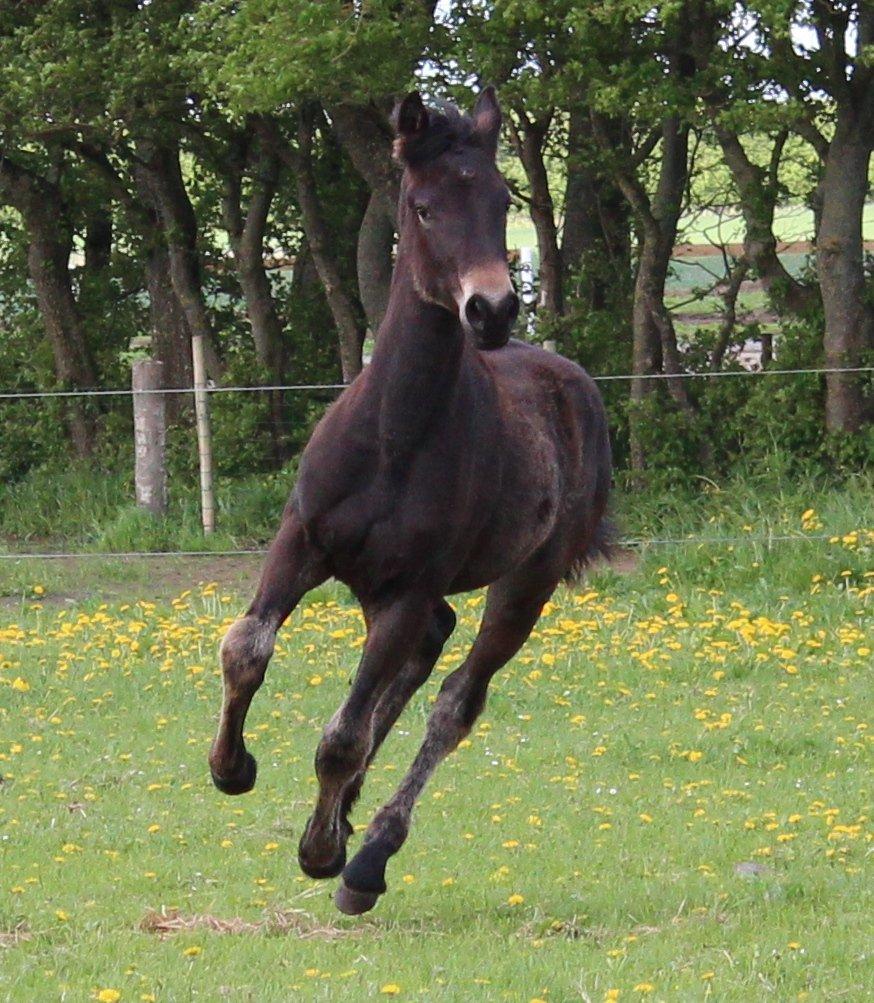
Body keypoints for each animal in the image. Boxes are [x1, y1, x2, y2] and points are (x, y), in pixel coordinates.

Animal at [208, 88, 610, 918]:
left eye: (502, 200)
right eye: (425, 207)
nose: (492, 310)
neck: (395, 433)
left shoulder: (407, 587)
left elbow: (344, 734)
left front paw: (321, 849)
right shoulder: (301, 542)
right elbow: (246, 647)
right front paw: (231, 767)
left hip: (526, 582)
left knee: (455, 699)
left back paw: (366, 857)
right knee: (427, 651)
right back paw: (347, 814)